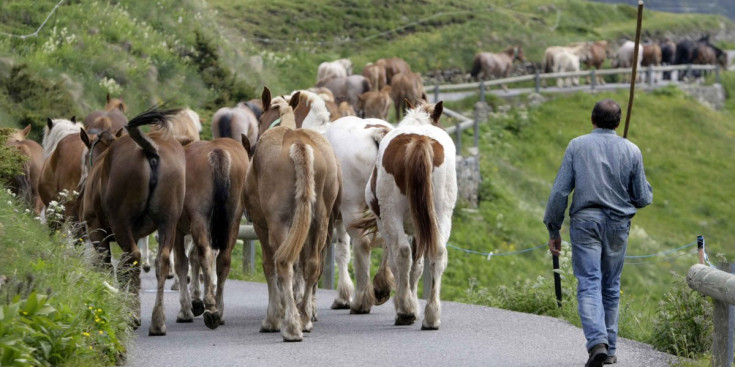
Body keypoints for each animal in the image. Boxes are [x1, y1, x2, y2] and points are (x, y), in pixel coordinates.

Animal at [77, 108, 185, 334]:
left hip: (120, 220)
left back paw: (136, 315)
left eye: (83, 158)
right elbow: (125, 266)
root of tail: (150, 150)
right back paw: (157, 320)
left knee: (133, 258)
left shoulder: (97, 230)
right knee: (160, 260)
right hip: (169, 221)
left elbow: (109, 266)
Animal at [172, 137, 250, 330]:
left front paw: (186, 310)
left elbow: (182, 263)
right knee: (223, 261)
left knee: (205, 255)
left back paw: (210, 309)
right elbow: (194, 258)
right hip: (232, 223)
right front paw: (196, 301)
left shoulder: (177, 230)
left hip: (199, 219)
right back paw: (218, 310)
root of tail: (218, 153)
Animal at [244, 87, 342, 344]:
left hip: (279, 224)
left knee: (284, 265)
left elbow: (269, 267)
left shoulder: (261, 226)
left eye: (259, 119)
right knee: (312, 264)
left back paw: (291, 326)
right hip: (319, 222)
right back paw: (305, 318)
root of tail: (299, 145)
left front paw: (273, 318)